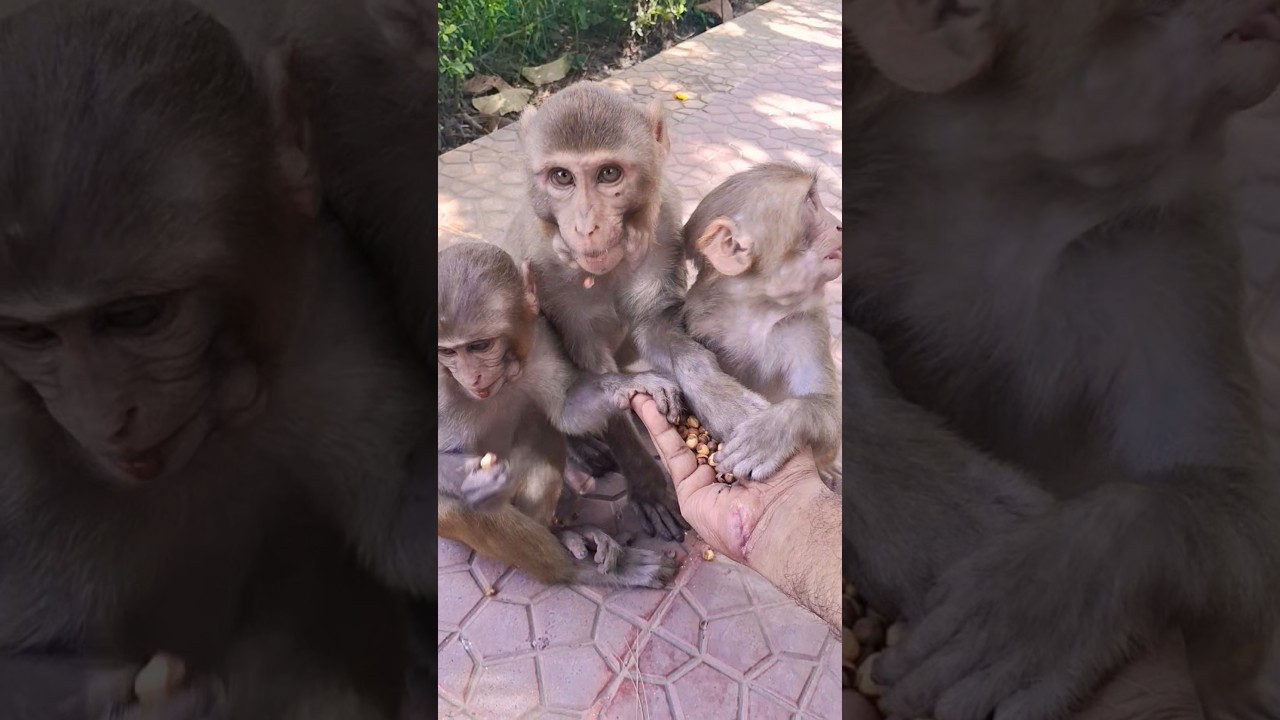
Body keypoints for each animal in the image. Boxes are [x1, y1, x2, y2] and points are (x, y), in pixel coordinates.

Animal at [0, 0, 444, 716]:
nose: (106, 416)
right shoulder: (15, 469)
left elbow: (401, 524)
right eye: (29, 336)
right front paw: (146, 701)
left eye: (135, 316)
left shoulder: (332, 321)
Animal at [436, 241, 682, 588]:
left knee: (541, 430)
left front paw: (633, 383)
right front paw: (477, 481)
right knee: (455, 507)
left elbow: (565, 408)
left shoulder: (542, 340)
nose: (472, 376)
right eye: (448, 352)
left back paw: (563, 533)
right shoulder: (441, 388)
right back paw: (582, 570)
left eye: (480, 346)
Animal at [503, 81, 775, 540]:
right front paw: (647, 485)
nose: (586, 227)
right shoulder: (543, 264)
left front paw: (722, 400)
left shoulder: (664, 228)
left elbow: (657, 328)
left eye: (608, 174)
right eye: (562, 177)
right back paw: (582, 447)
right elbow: (590, 366)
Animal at [681, 163, 843, 482]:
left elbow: (831, 410)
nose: (839, 224)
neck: (757, 310)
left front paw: (771, 433)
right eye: (811, 201)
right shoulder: (698, 320)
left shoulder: (809, 326)